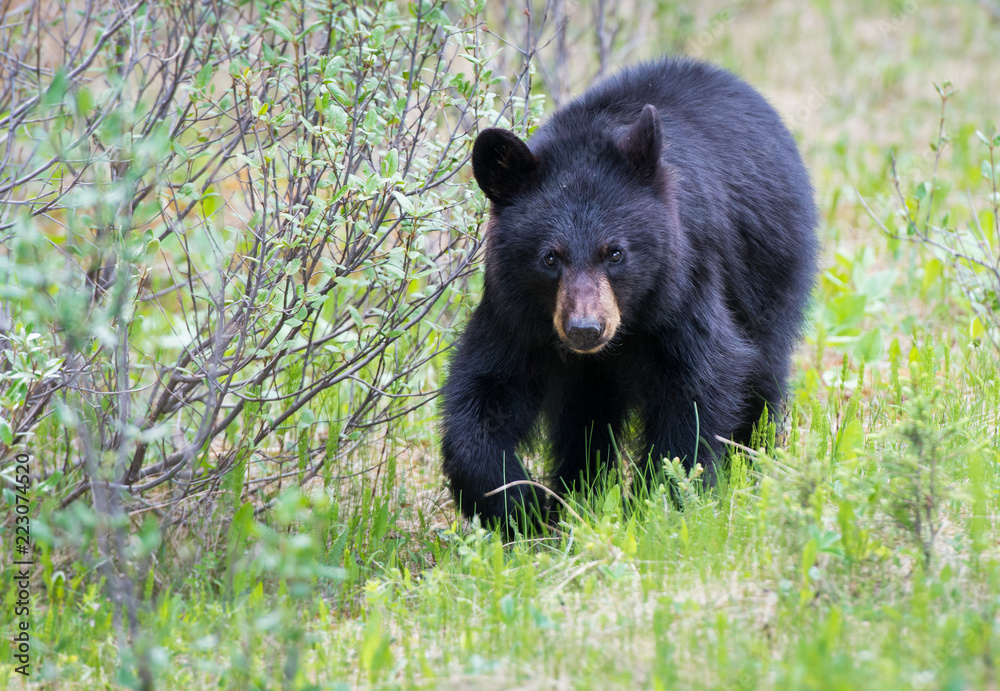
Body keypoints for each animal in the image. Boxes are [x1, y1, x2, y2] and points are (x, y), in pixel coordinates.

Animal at [442, 58, 816, 528]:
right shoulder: (517, 311)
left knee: (763, 372)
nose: (585, 329)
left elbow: (699, 382)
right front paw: (520, 506)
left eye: (615, 252)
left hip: (768, 273)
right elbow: (487, 390)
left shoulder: (682, 284)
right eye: (550, 257)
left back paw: (753, 465)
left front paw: (660, 504)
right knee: (583, 418)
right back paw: (576, 493)